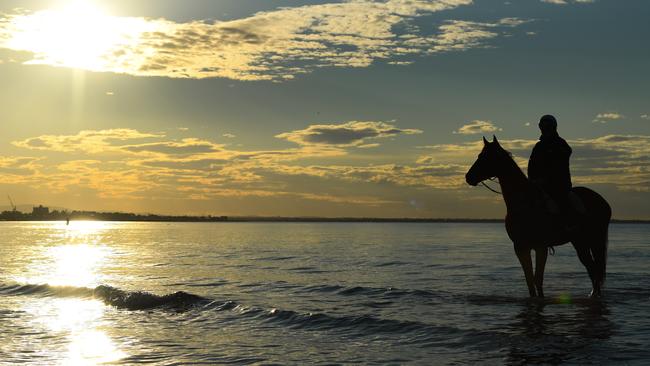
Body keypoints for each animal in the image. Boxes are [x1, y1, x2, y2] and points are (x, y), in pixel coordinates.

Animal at [466, 137, 608, 298]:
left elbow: (537, 278)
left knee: (595, 268)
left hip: (594, 240)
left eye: (487, 157)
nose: (468, 177)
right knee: (592, 267)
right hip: (580, 242)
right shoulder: (520, 247)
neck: (524, 202)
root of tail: (602, 201)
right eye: (479, 155)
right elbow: (530, 279)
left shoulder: (541, 247)